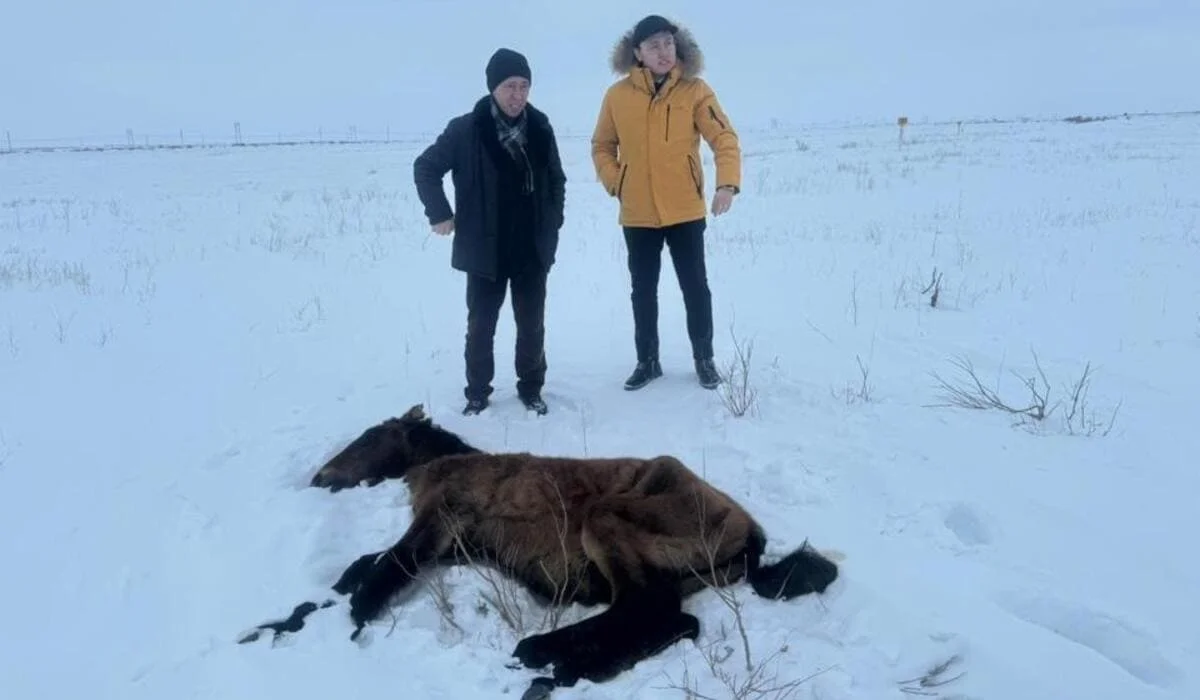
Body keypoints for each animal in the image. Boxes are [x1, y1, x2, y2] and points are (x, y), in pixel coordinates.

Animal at [241, 403, 844, 696]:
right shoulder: (453, 547)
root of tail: (751, 533)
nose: (320, 476)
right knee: (672, 622)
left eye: (370, 436)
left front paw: (346, 629)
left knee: (648, 608)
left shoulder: (438, 522)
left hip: (607, 520)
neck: (446, 464)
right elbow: (354, 574)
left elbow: (378, 577)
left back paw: (544, 657)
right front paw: (273, 626)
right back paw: (566, 667)